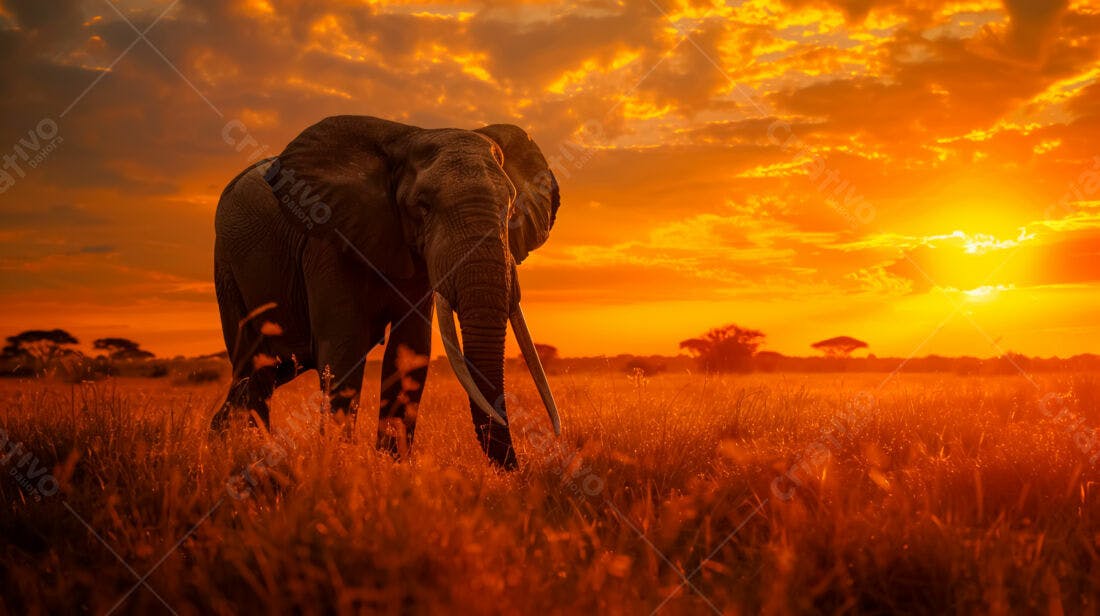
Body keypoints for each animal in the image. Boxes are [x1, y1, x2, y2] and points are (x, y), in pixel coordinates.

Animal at [210, 115, 561, 468]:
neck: (407, 138)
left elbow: (410, 351)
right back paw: (250, 451)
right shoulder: (327, 239)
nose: (520, 467)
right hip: (227, 266)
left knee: (267, 373)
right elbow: (344, 347)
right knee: (254, 369)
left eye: (510, 209)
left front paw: (391, 467)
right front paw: (341, 464)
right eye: (423, 206)